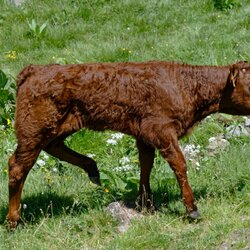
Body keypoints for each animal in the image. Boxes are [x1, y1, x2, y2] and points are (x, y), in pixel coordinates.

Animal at [6, 60, 250, 229]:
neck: (186, 86)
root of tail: (35, 69)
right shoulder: (161, 130)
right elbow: (179, 164)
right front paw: (191, 209)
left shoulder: (144, 135)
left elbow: (145, 165)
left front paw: (145, 203)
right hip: (34, 130)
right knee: (17, 167)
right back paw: (13, 220)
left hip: (59, 126)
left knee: (53, 148)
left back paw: (92, 168)